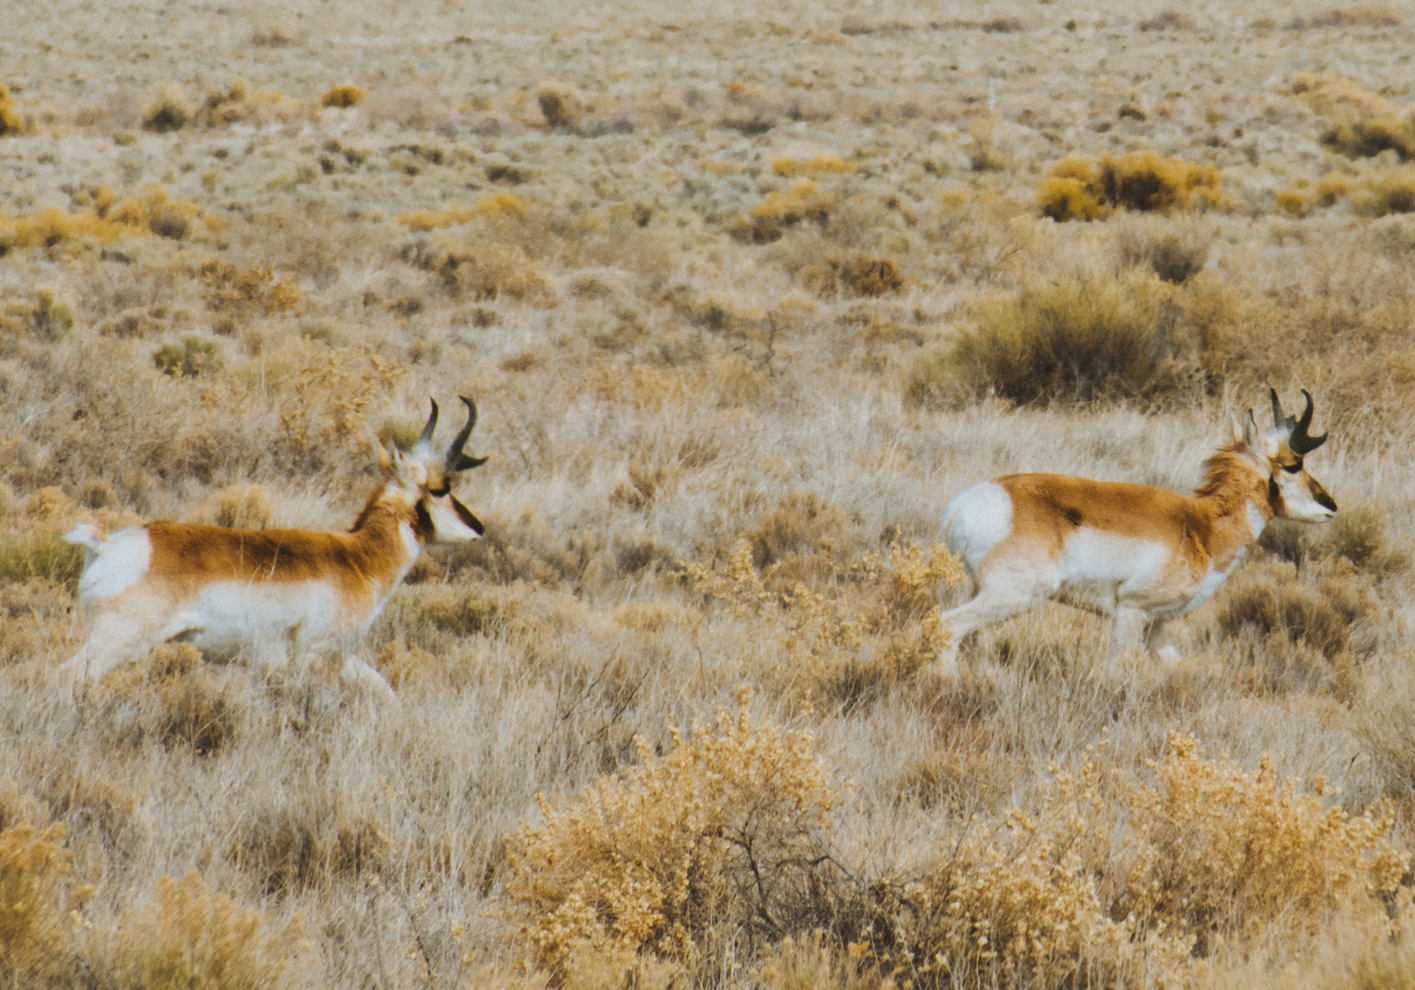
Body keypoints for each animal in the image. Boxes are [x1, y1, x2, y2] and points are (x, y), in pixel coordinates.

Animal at [58, 393, 489, 695]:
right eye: (442, 487)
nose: (479, 528)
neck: (356, 558)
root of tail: (108, 545)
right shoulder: (318, 656)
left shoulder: (339, 658)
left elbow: (385, 691)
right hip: (117, 644)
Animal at [939, 390, 1335, 676]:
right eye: (1293, 464)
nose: (1331, 506)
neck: (1201, 525)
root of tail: (964, 504)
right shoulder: (1131, 613)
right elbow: (1115, 670)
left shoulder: (1157, 627)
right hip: (1013, 595)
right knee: (948, 628)